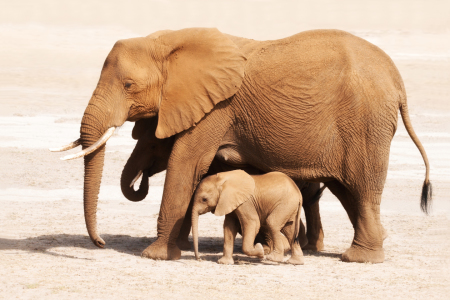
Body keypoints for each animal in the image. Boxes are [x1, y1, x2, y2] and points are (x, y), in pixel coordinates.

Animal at [51, 28, 430, 262]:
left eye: (128, 85)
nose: (100, 244)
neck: (168, 41)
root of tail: (398, 82)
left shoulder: (216, 108)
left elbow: (187, 163)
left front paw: (155, 256)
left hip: (365, 124)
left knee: (361, 189)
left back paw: (359, 258)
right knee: (348, 192)